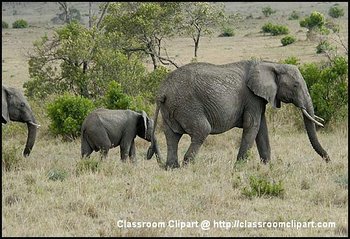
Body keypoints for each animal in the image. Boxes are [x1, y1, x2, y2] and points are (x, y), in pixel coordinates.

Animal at [148, 59, 330, 169]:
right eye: (296, 85)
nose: (329, 160)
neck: (272, 64)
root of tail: (162, 92)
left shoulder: (258, 99)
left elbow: (261, 129)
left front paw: (267, 168)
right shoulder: (252, 97)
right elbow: (253, 126)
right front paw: (239, 169)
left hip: (171, 108)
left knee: (172, 136)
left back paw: (172, 168)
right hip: (187, 105)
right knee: (201, 131)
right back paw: (188, 168)